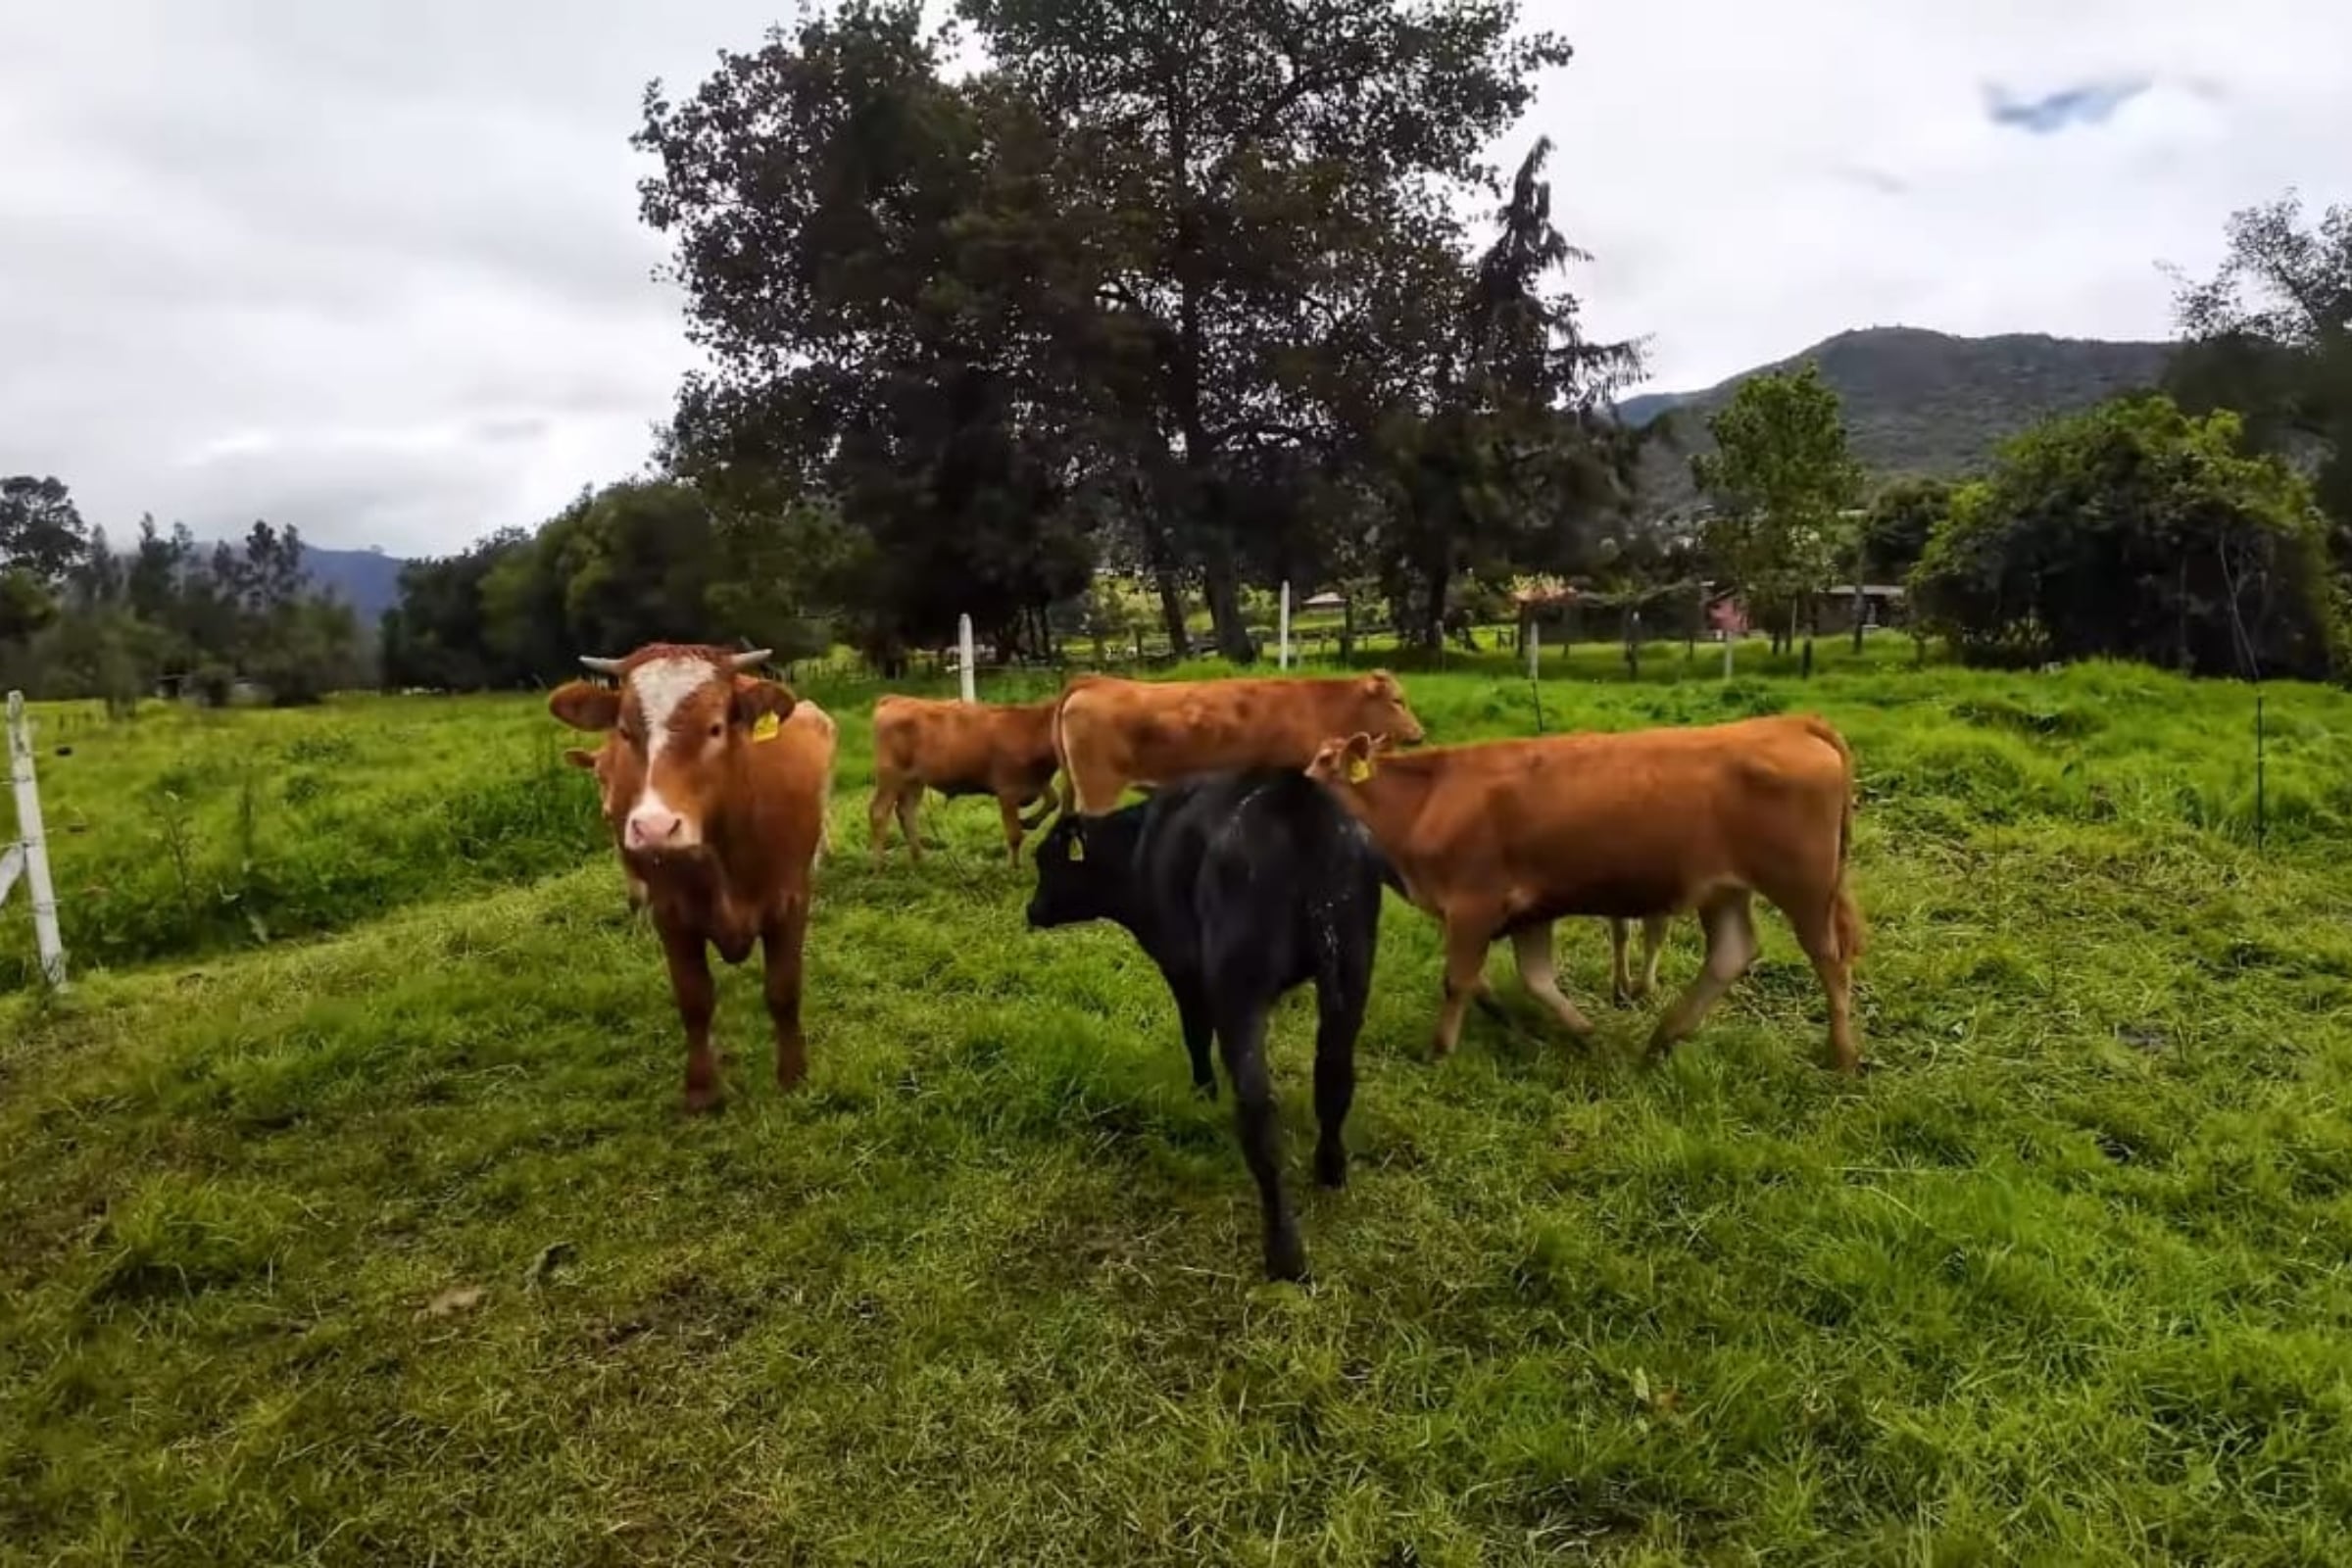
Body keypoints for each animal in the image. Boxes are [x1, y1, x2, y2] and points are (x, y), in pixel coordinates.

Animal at [545, 639, 842, 1114]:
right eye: (625, 731)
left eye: (716, 728)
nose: (654, 827)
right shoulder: (670, 914)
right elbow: (695, 999)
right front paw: (702, 1089)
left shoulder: (791, 901)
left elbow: (783, 991)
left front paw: (792, 1076)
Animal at [870, 700, 1062, 869]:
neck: (1032, 730)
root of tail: (894, 699)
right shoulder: (1008, 791)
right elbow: (1015, 834)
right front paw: (1014, 868)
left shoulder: (1037, 782)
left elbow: (1054, 800)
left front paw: (1030, 822)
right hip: (890, 777)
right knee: (879, 813)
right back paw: (879, 867)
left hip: (914, 781)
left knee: (907, 812)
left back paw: (920, 861)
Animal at [1025, 766, 1383, 1278]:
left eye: (1045, 860)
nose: (1031, 910)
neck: (1139, 849)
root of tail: (1297, 800)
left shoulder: (1182, 967)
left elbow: (1195, 1033)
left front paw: (1202, 1092)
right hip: (1352, 973)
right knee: (1334, 1080)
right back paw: (1330, 1171)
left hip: (1240, 989)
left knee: (1257, 1111)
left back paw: (1284, 1254)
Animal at [1298, 719, 1862, 1071]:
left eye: (1320, 767)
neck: (1427, 800)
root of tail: (1790, 722)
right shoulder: (1527, 913)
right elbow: (1530, 980)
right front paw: (1579, 1031)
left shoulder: (1474, 904)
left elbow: (1458, 981)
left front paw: (1439, 1051)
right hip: (1723, 889)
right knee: (1731, 952)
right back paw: (1664, 1036)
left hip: (1806, 888)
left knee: (1830, 963)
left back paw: (1842, 1056)